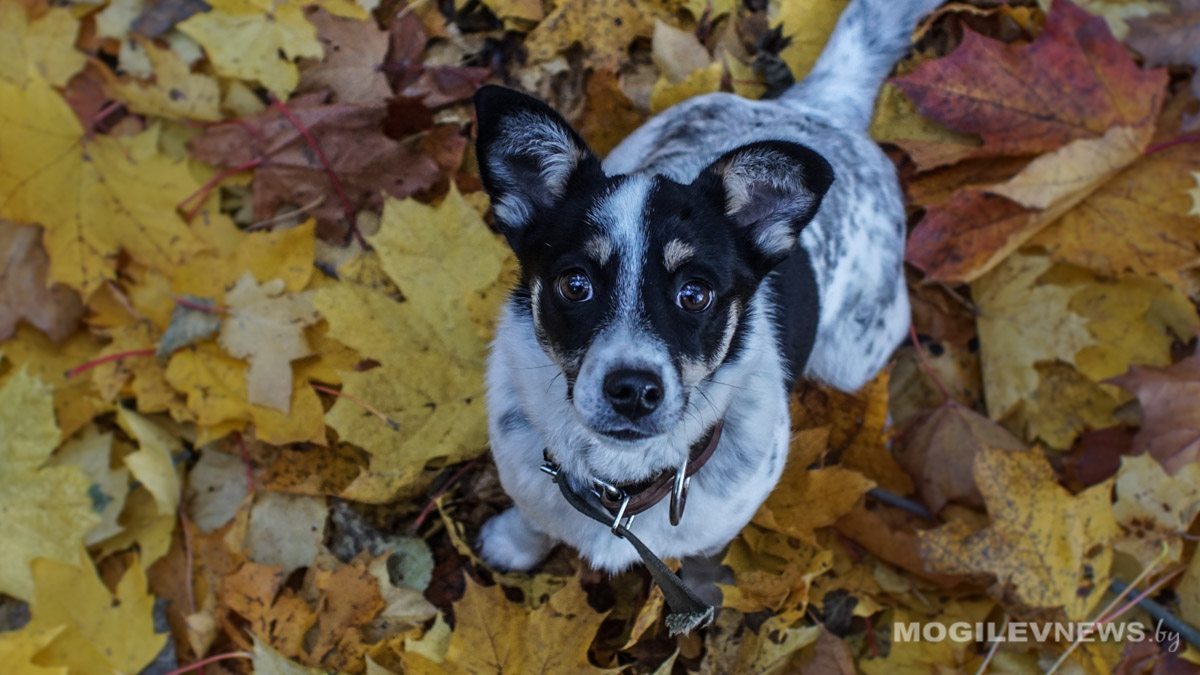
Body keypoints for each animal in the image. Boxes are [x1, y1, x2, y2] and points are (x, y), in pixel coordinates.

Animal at [470, 0, 936, 576]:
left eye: (695, 294)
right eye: (574, 284)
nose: (633, 390)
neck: (622, 485)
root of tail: (820, 105)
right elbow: (534, 515)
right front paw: (515, 541)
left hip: (853, 353)